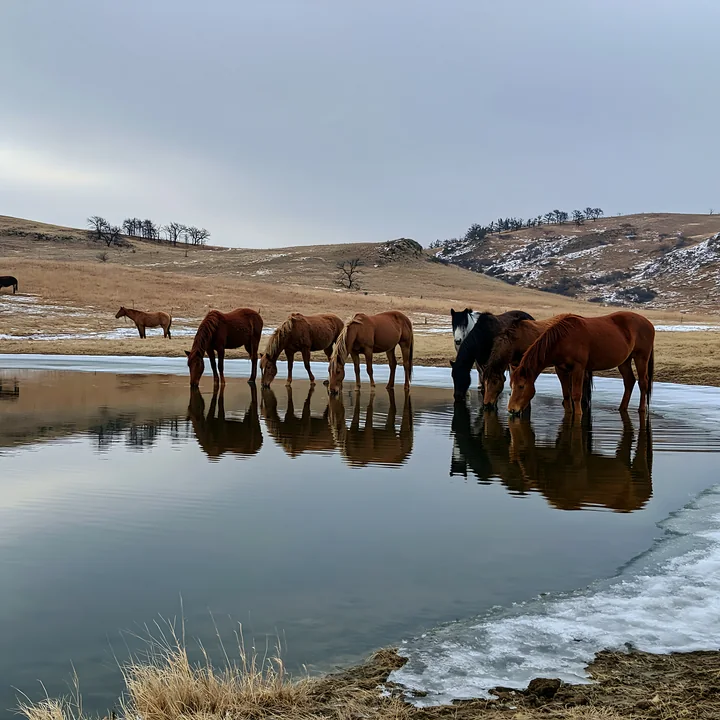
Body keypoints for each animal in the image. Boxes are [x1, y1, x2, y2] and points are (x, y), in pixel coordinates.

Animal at [508, 312, 655, 417]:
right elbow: (566, 394)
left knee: (643, 382)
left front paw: (578, 414)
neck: (563, 340)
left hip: (641, 358)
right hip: (624, 361)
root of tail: (649, 323)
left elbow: (576, 394)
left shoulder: (578, 368)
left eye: (521, 386)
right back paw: (621, 408)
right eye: (511, 386)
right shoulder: (560, 369)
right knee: (629, 381)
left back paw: (641, 409)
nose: (511, 409)